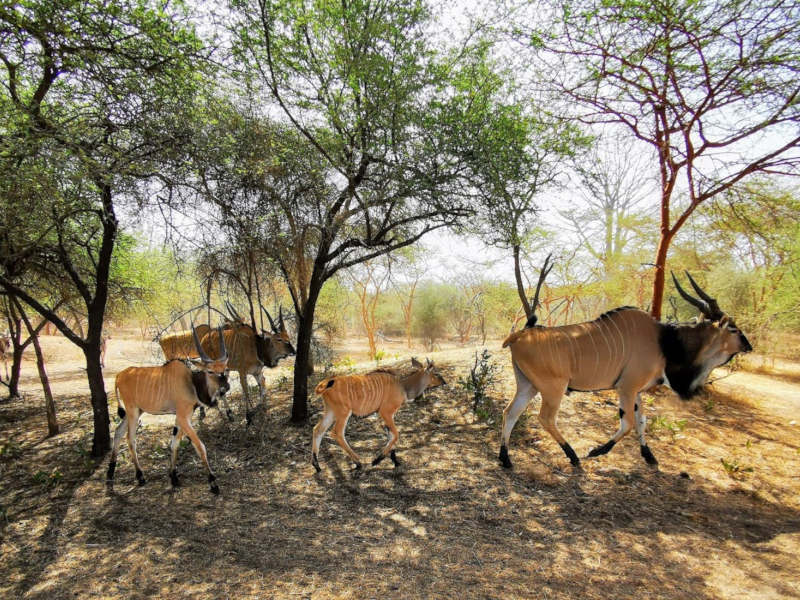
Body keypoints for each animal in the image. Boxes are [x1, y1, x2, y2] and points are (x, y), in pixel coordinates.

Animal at [108, 326, 230, 494]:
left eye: (226, 369)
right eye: (210, 371)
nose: (225, 387)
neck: (191, 381)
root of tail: (119, 375)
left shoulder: (182, 418)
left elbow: (174, 445)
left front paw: (173, 477)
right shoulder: (183, 417)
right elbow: (200, 446)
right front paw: (213, 482)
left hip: (136, 411)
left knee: (118, 432)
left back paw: (110, 474)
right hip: (132, 412)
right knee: (130, 438)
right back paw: (140, 476)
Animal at [312, 358, 446, 472]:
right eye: (436, 373)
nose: (444, 382)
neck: (402, 386)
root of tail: (324, 384)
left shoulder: (386, 415)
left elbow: (391, 435)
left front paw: (395, 461)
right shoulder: (385, 412)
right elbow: (395, 434)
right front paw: (377, 460)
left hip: (331, 411)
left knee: (317, 429)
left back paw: (317, 466)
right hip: (344, 412)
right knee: (337, 433)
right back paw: (358, 462)